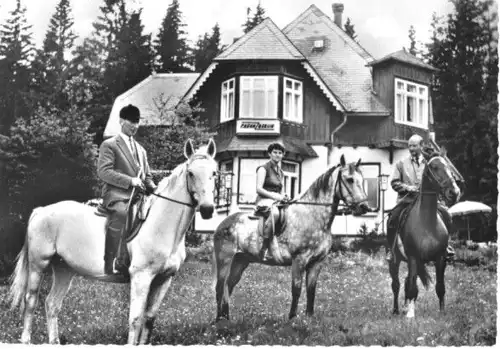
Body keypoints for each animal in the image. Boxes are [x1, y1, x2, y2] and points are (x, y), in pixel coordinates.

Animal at [8, 138, 219, 342]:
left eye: (214, 173)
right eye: (191, 173)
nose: (207, 209)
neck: (162, 226)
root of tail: (41, 210)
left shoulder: (164, 279)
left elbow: (149, 319)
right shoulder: (141, 277)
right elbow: (135, 319)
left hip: (64, 269)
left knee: (52, 304)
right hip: (38, 265)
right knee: (31, 300)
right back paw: (26, 339)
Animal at [213, 155, 370, 320]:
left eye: (362, 179)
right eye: (349, 179)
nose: (364, 207)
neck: (313, 216)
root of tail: (224, 223)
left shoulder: (317, 262)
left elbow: (311, 291)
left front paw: (309, 318)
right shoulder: (299, 260)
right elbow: (296, 289)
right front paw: (292, 318)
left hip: (241, 260)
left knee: (229, 285)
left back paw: (226, 318)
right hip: (225, 260)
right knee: (220, 287)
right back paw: (218, 321)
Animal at [390, 148, 460, 316]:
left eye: (448, 165)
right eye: (434, 167)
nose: (454, 192)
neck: (427, 223)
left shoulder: (440, 258)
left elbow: (440, 287)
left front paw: (442, 312)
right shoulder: (413, 257)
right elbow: (411, 288)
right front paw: (410, 315)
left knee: (407, 281)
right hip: (395, 260)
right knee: (396, 284)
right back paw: (396, 310)